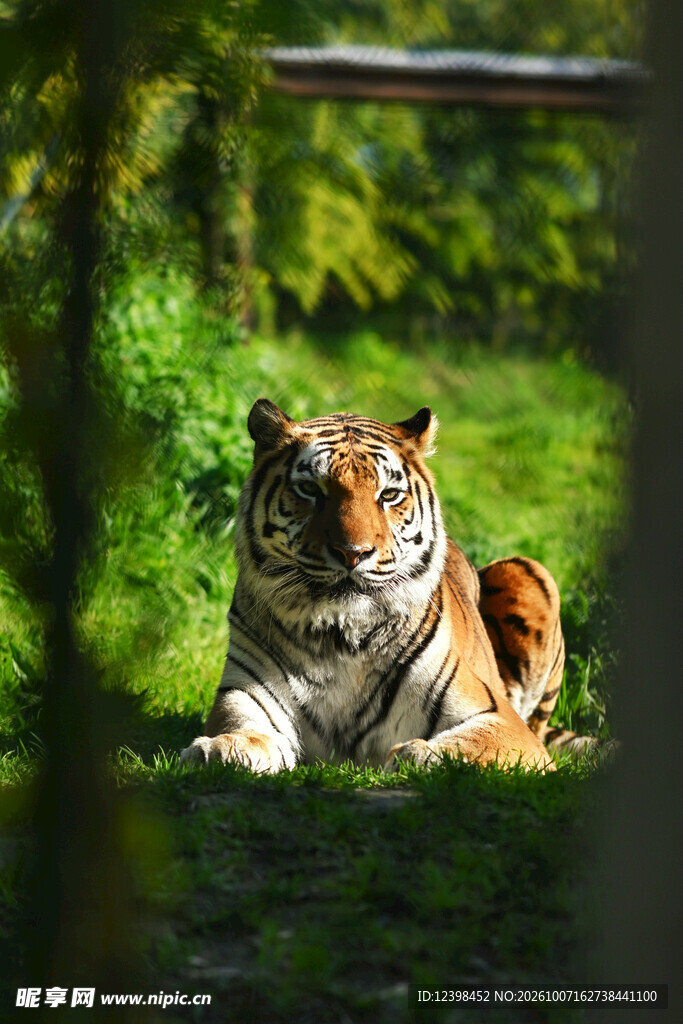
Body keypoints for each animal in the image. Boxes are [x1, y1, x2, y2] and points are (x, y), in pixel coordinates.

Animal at [180, 399, 592, 775]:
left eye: (389, 494)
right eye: (311, 489)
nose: (353, 553)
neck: (341, 636)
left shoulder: (502, 719)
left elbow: (468, 743)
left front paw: (415, 754)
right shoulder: (244, 694)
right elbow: (241, 729)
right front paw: (220, 748)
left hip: (528, 571)